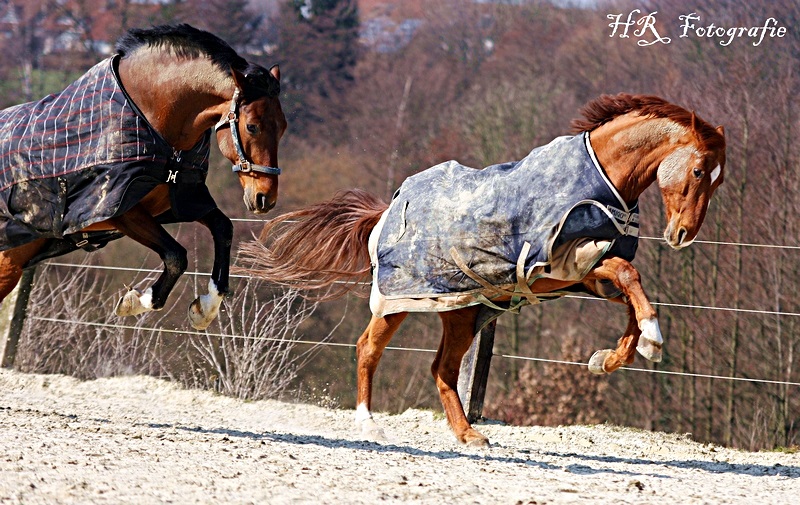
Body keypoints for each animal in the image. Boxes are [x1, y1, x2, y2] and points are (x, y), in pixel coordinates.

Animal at [0, 24, 286, 330]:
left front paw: (206, 307)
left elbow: (223, 229)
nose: (265, 198)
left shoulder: (182, 202)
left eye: (282, 127)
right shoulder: (118, 211)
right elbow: (176, 256)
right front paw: (138, 300)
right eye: (252, 126)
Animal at [236, 93, 724, 444]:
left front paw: (609, 358)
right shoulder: (566, 263)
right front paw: (653, 341)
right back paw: (371, 426)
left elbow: (628, 295)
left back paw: (469, 435)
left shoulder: (584, 274)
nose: (683, 234)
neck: (601, 183)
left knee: (442, 369)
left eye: (718, 179)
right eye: (700, 171)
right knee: (368, 350)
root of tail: (384, 215)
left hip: (461, 310)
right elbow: (629, 276)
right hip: (400, 300)